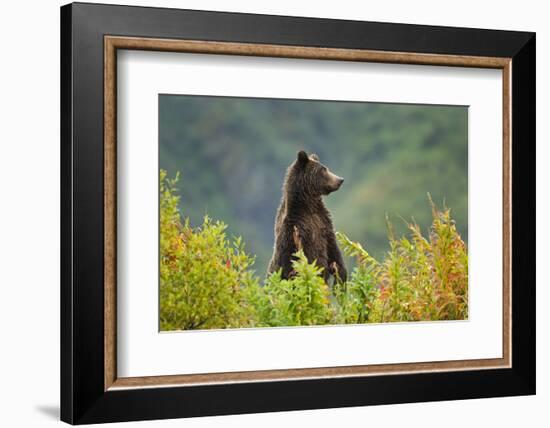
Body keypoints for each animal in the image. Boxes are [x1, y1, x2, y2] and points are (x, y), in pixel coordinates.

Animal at [268, 151, 350, 284]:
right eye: (323, 170)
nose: (340, 180)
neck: (308, 206)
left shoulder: (324, 223)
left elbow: (334, 251)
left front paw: (340, 277)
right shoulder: (296, 230)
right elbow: (291, 259)